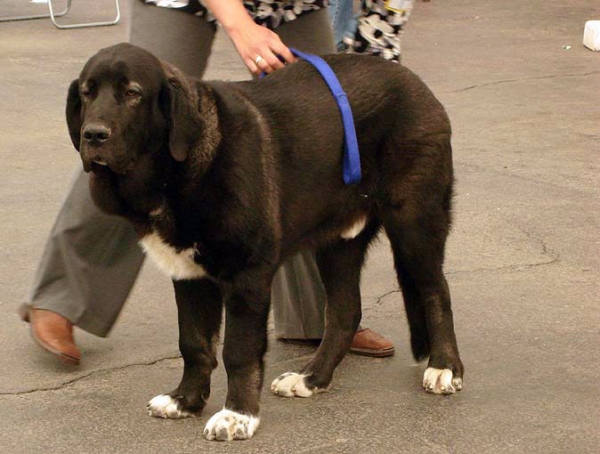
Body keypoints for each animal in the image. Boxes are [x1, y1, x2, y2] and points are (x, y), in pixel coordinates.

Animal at [69, 42, 464, 440]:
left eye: (133, 93)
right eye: (87, 93)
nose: (94, 135)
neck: (176, 170)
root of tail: (415, 83)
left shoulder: (247, 275)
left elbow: (238, 350)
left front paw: (237, 414)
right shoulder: (188, 274)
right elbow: (193, 343)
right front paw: (186, 401)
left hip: (415, 222)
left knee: (436, 291)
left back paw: (444, 367)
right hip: (339, 241)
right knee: (345, 312)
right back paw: (311, 378)